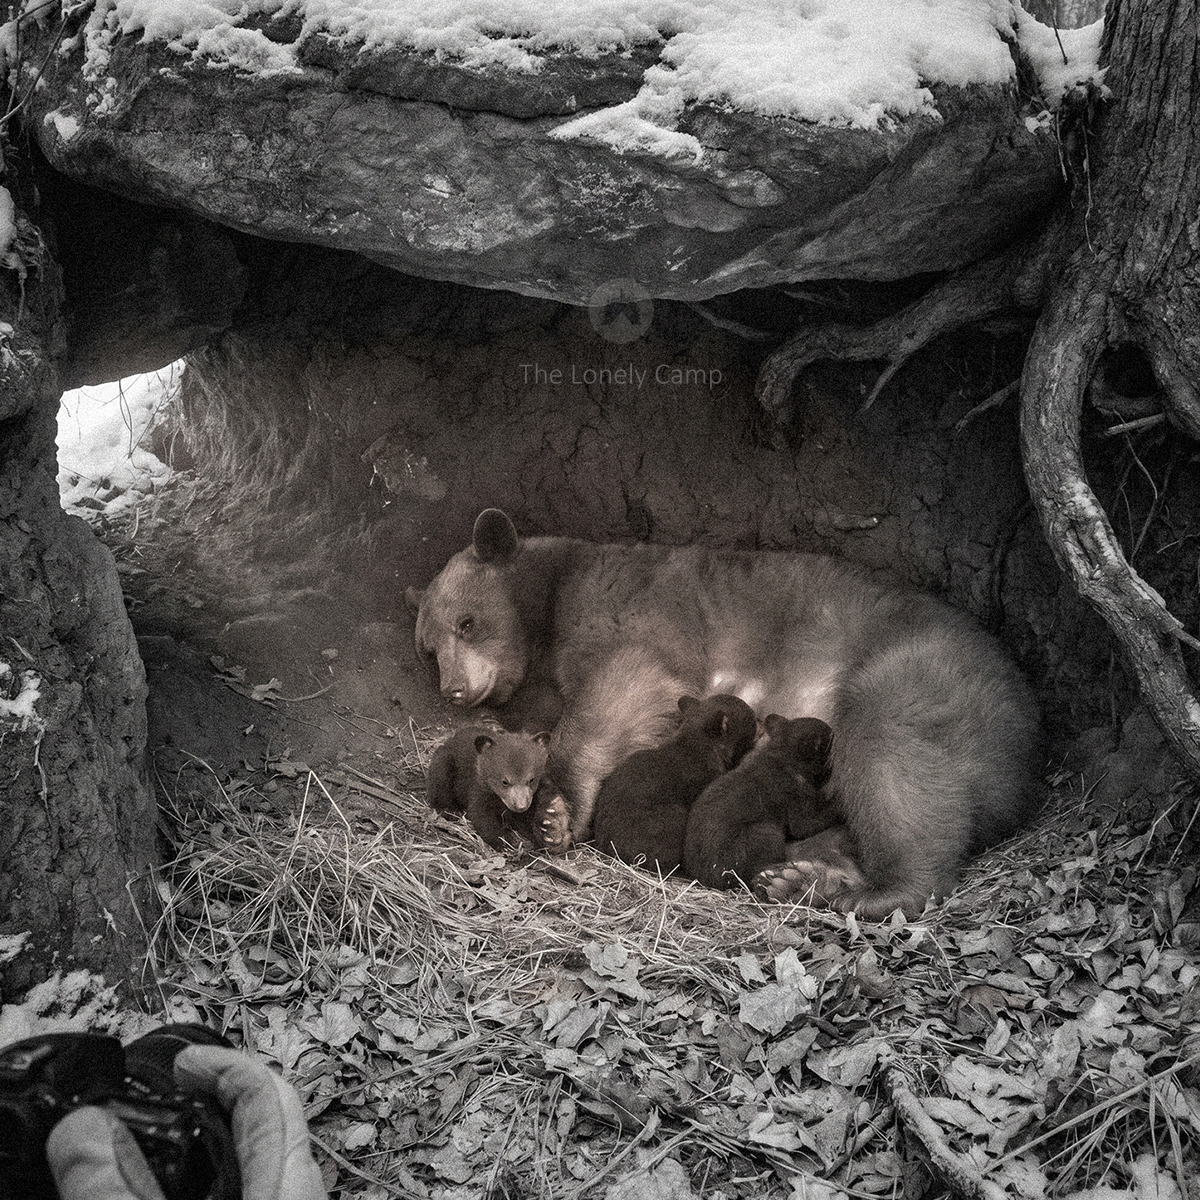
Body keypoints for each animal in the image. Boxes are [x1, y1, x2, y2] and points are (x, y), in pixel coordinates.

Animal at [424, 726, 569, 852]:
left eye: (531, 780)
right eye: (505, 781)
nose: (521, 806)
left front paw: (551, 829)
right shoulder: (478, 789)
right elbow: (482, 816)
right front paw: (507, 842)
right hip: (445, 761)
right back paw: (449, 810)